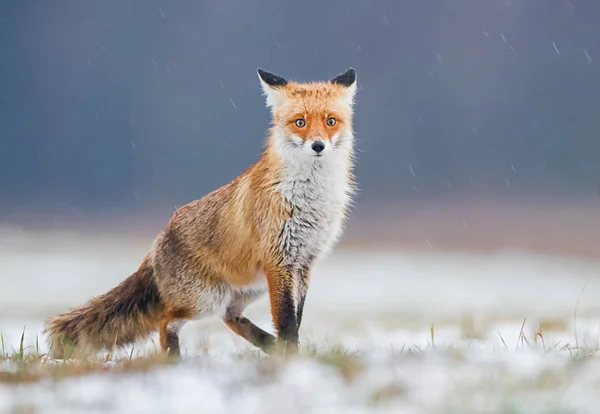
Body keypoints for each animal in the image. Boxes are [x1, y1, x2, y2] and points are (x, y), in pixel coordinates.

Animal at [47, 68, 358, 360]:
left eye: (330, 121)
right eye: (300, 122)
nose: (318, 146)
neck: (309, 200)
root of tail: (156, 242)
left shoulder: (303, 263)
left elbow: (296, 317)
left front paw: (289, 351)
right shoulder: (278, 261)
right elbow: (287, 321)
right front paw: (291, 356)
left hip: (247, 289)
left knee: (229, 317)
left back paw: (268, 343)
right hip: (205, 299)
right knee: (166, 320)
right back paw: (175, 360)